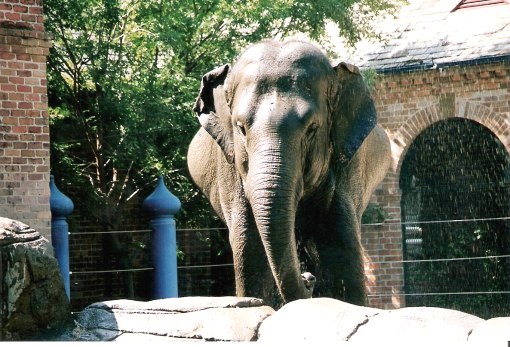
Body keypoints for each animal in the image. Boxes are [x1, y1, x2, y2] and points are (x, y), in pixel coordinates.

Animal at [187, 39, 390, 308]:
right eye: (240, 128)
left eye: (312, 128)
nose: (308, 278)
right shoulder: (228, 168)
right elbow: (248, 247)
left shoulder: (347, 165)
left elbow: (340, 243)